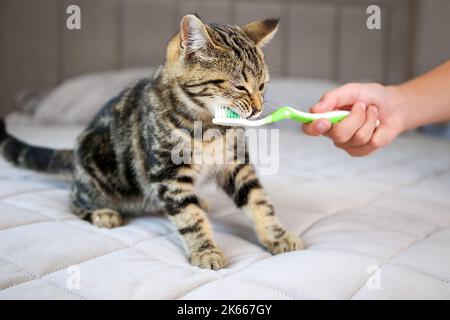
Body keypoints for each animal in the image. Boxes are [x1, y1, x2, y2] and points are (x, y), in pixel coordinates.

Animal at [1, 15, 302, 270]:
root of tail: (74, 156)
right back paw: (102, 213)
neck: (210, 126)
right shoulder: (168, 172)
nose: (258, 108)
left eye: (262, 86)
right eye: (239, 86)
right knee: (74, 199)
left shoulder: (236, 163)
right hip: (96, 172)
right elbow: (189, 217)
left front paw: (277, 235)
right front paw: (205, 251)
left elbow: (258, 201)